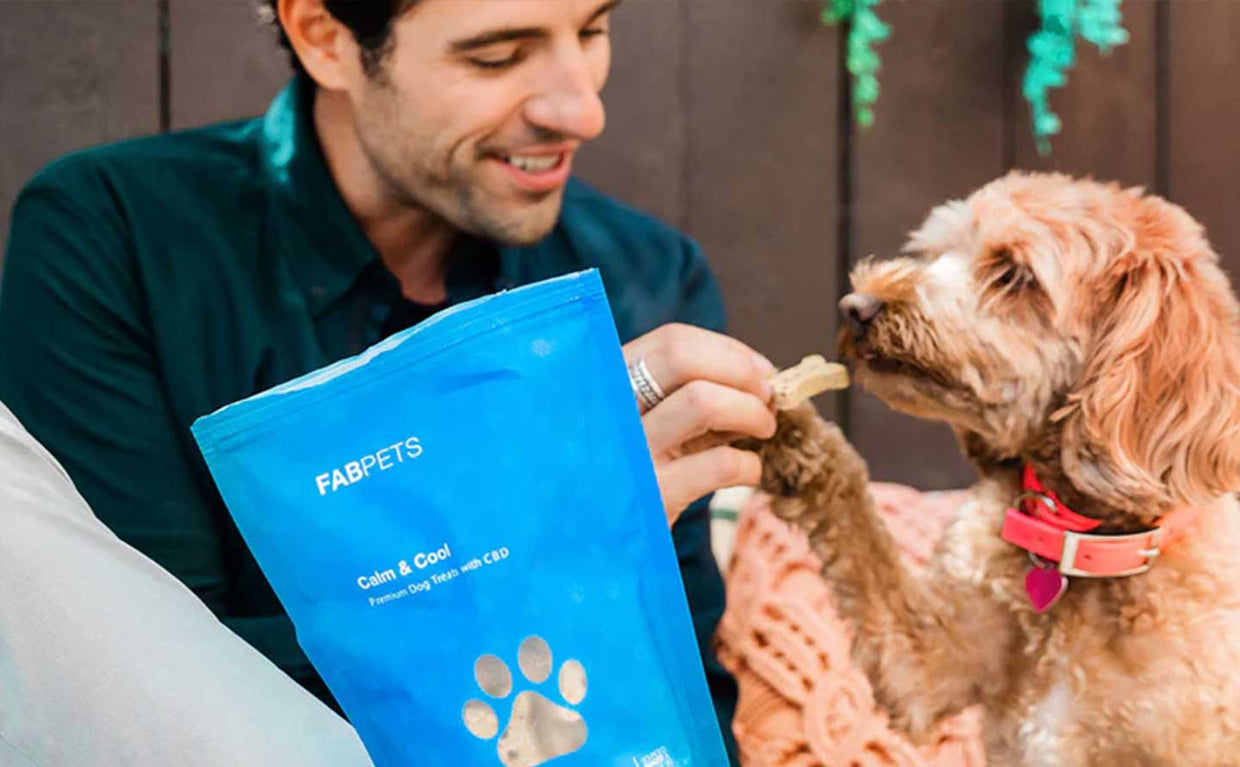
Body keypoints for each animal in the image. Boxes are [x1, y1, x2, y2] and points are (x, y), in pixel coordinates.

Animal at [748, 173, 1240, 767]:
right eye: (933, 252)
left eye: (1012, 273)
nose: (856, 307)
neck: (1086, 547)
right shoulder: (927, 660)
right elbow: (857, 525)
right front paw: (783, 426)